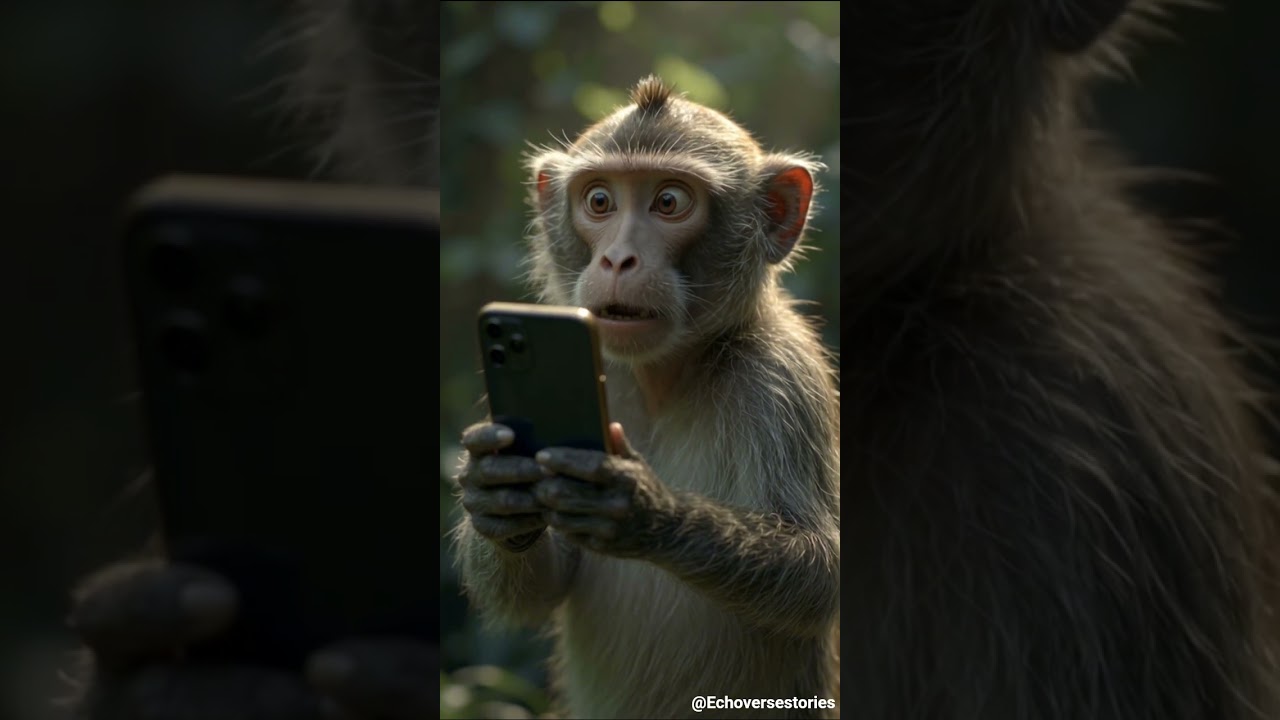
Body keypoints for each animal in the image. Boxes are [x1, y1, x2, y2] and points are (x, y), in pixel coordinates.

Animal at [451, 75, 841, 719]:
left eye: (669, 203)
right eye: (599, 202)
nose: (617, 258)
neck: (665, 375)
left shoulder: (783, 384)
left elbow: (824, 573)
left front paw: (644, 509)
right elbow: (544, 587)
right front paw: (492, 488)